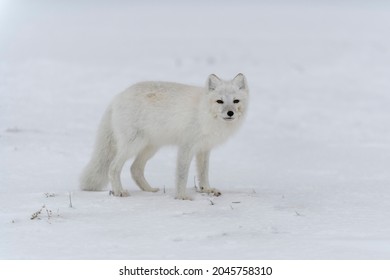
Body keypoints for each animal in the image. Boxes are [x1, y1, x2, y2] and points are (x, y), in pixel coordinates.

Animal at [79, 73, 248, 200]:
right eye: (219, 101)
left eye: (235, 101)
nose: (230, 113)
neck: (204, 113)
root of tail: (117, 97)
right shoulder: (186, 147)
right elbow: (182, 174)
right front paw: (182, 196)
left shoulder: (204, 148)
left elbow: (203, 173)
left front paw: (206, 189)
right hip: (133, 145)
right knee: (114, 167)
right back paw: (119, 192)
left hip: (151, 147)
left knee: (135, 169)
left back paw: (150, 190)